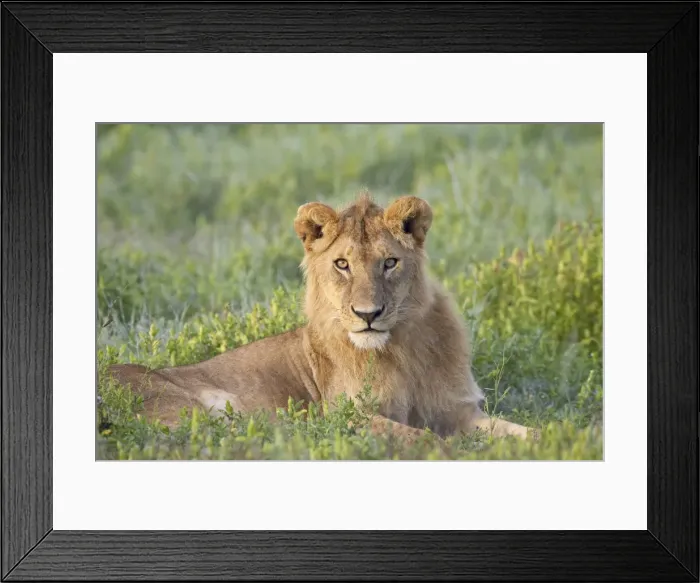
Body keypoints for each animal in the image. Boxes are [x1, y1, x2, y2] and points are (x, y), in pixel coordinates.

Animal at [105, 192, 536, 445]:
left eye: (390, 262)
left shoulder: (457, 410)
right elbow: (424, 439)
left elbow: (524, 431)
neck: (400, 349)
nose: (367, 315)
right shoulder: (349, 416)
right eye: (342, 264)